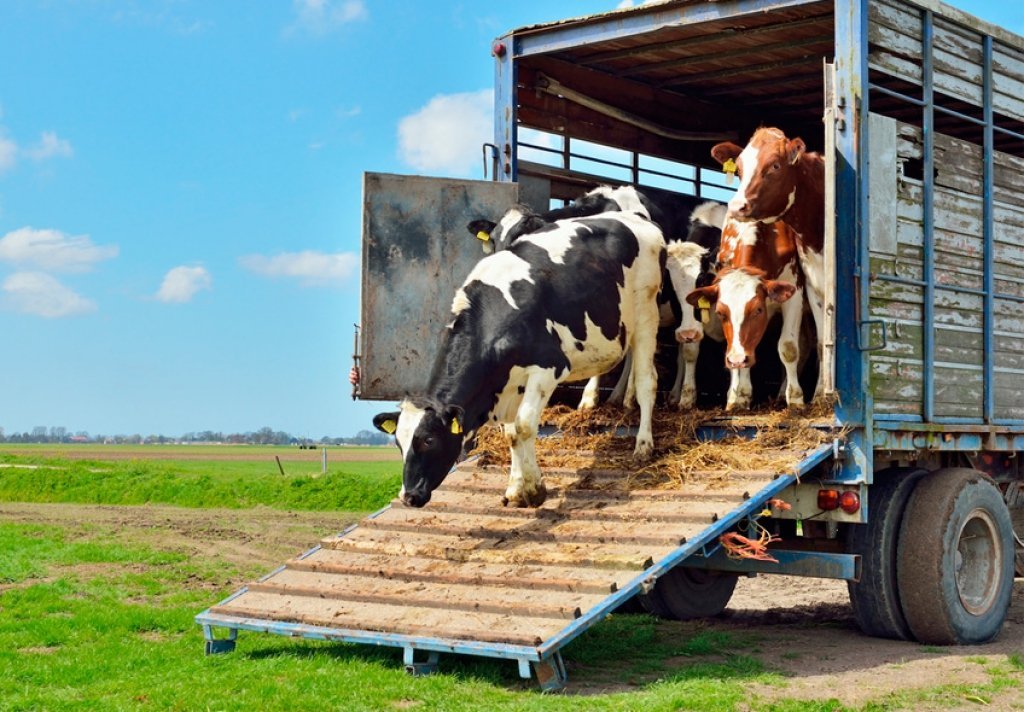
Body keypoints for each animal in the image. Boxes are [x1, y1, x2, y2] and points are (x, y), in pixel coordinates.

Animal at [376, 208, 663, 510]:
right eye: (399, 443)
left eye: (429, 440)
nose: (408, 496)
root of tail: (633, 216)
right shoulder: (508, 384)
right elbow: (511, 433)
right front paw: (516, 488)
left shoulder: (548, 366)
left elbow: (524, 426)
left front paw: (536, 489)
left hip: (646, 312)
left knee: (647, 382)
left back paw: (643, 445)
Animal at [708, 128, 827, 403]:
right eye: (739, 169)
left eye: (774, 165)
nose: (737, 206)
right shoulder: (813, 285)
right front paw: (737, 396)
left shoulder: (796, 289)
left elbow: (789, 346)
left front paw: (797, 399)